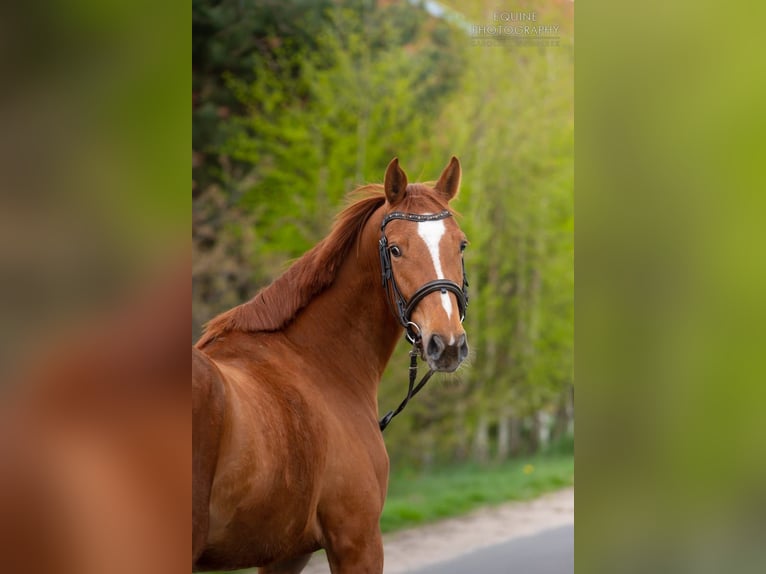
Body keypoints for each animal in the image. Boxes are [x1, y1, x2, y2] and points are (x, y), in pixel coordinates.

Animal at [192, 157, 470, 573]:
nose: (447, 343)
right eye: (395, 249)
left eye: (460, 244)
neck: (316, 360)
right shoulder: (358, 541)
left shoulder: (286, 554)